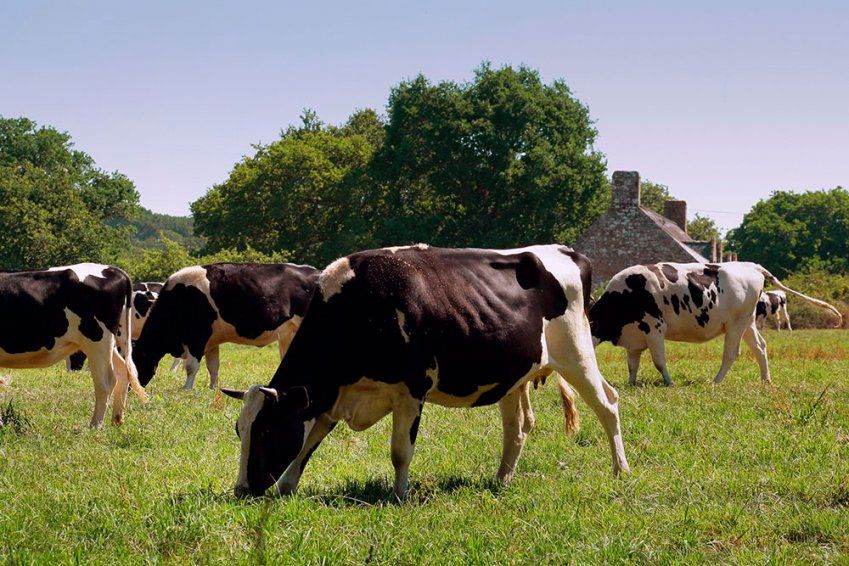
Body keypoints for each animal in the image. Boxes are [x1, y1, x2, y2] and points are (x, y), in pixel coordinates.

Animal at [0, 264, 147, 428]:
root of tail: (111, 268)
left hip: (97, 341)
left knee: (106, 382)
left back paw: (95, 426)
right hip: (107, 344)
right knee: (123, 372)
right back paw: (117, 420)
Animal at [134, 266, 320, 390]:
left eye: (133, 365)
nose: (132, 389)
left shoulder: (197, 337)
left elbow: (191, 366)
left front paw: (186, 389)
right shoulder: (211, 341)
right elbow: (213, 366)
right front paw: (213, 388)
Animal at [222, 245, 628, 502]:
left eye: (267, 430)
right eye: (240, 430)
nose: (241, 489)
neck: (359, 306)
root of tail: (568, 252)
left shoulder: (411, 390)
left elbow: (400, 451)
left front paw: (400, 496)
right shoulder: (331, 395)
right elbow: (306, 444)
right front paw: (286, 488)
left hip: (576, 352)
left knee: (608, 404)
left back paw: (620, 471)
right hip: (515, 375)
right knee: (519, 426)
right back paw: (501, 480)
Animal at [588, 264, 840, 388]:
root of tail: (752, 266)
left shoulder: (655, 328)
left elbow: (659, 362)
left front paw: (669, 383)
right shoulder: (634, 338)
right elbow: (632, 365)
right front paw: (631, 384)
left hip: (736, 323)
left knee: (731, 353)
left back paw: (716, 382)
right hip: (748, 322)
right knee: (760, 347)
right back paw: (766, 380)